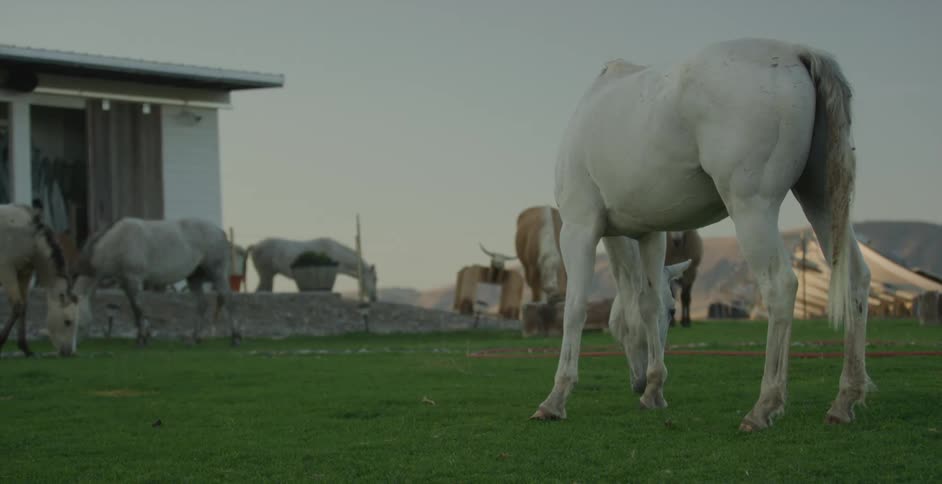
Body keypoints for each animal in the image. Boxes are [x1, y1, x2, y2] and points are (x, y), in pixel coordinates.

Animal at [0, 204, 79, 356]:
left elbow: (23, 306)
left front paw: (25, 347)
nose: (68, 352)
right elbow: (17, 306)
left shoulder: (24, 272)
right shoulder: (6, 269)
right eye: (67, 322)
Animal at [73, 217, 240, 346]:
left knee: (227, 299)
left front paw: (142, 339)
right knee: (202, 304)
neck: (118, 242)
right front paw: (142, 336)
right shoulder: (125, 283)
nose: (71, 350)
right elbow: (135, 309)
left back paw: (235, 338)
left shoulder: (134, 280)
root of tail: (219, 231)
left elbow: (138, 309)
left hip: (217, 273)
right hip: (194, 277)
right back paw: (194, 339)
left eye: (71, 321)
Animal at [248, 237, 378, 302]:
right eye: (375, 279)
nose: (374, 298)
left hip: (268, 275)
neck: (335, 252)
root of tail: (255, 246)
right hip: (266, 274)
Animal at [531, 38, 871, 432]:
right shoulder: (650, 234)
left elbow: (574, 309)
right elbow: (646, 303)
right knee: (855, 278)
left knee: (780, 286)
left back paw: (764, 405)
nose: (637, 383)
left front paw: (556, 397)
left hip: (752, 208)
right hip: (822, 200)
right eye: (671, 310)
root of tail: (796, 53)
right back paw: (845, 398)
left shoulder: (580, 227)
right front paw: (654, 390)